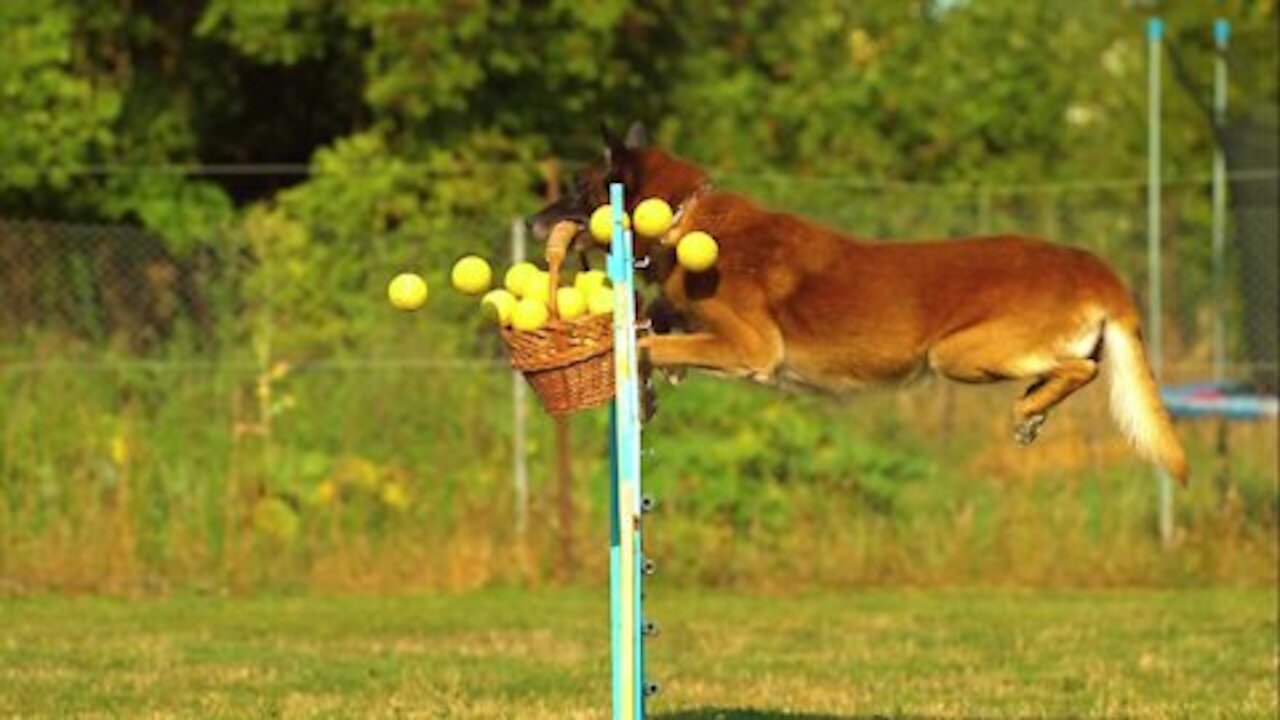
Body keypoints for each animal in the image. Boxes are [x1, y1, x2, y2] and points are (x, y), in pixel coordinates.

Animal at [529, 122, 1187, 481]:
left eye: (580, 187)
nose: (534, 223)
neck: (684, 219)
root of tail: (1093, 266)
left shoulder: (750, 348)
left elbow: (653, 344)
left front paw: (642, 367)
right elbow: (656, 322)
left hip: (957, 353)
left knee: (1083, 366)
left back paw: (1029, 408)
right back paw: (1034, 410)